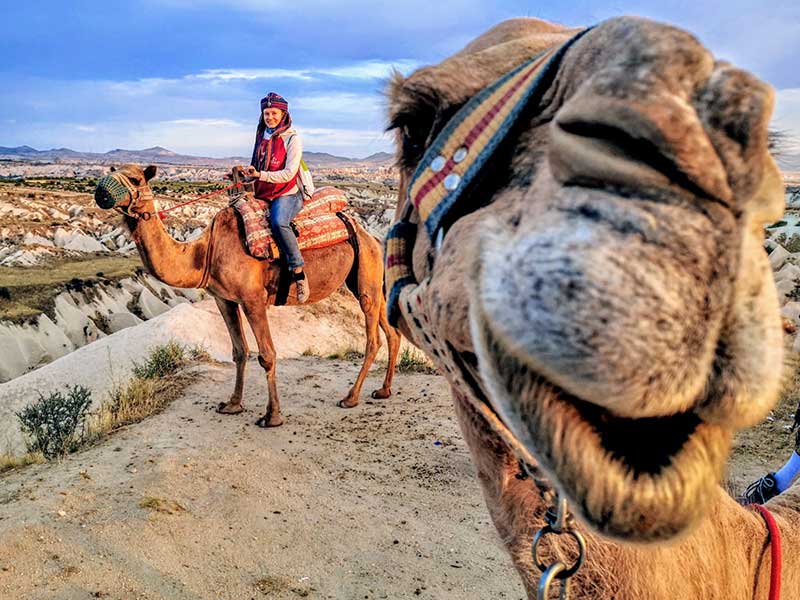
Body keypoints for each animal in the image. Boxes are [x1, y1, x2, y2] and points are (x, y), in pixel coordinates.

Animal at [94, 164, 400, 426]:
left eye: (135, 179)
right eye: (113, 171)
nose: (101, 191)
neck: (205, 252)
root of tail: (373, 237)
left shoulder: (253, 300)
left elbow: (267, 354)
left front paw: (272, 416)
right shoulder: (225, 299)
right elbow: (239, 351)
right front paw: (232, 404)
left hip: (367, 275)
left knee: (373, 338)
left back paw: (350, 397)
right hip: (366, 279)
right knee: (391, 331)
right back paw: (383, 390)